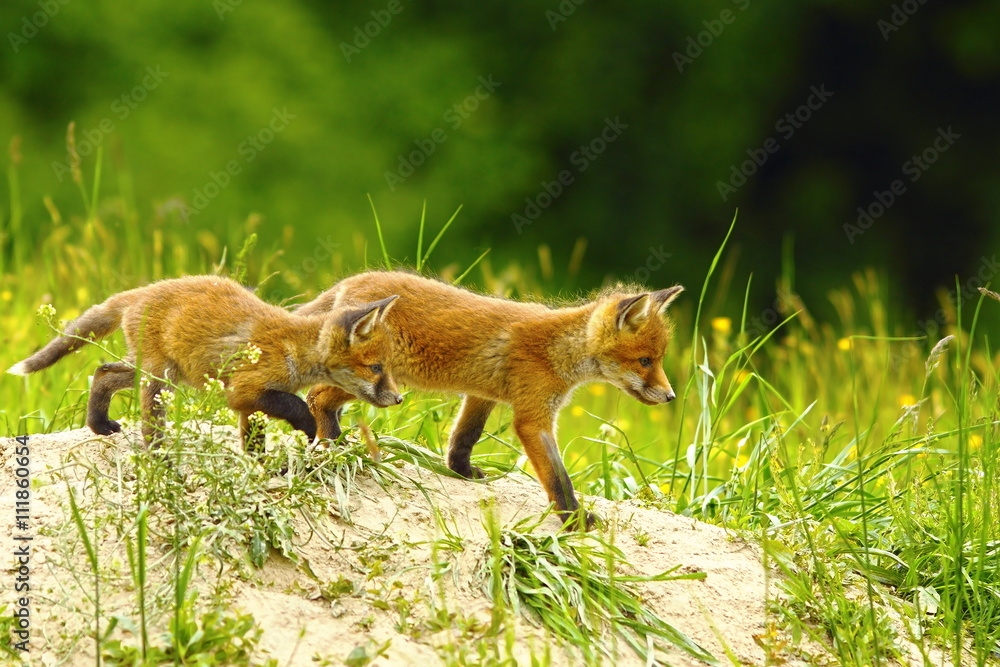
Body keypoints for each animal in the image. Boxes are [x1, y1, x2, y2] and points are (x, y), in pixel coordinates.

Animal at [8, 275, 402, 449]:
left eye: (387, 368)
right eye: (377, 368)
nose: (399, 399)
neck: (293, 347)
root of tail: (141, 290)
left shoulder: (250, 406)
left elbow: (254, 444)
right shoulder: (244, 392)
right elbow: (296, 405)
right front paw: (309, 429)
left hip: (158, 373)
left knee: (102, 372)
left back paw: (100, 426)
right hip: (158, 380)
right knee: (145, 418)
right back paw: (158, 456)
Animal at [295, 270, 684, 528]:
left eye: (659, 359)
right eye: (645, 361)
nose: (670, 396)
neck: (557, 349)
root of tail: (352, 280)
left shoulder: (482, 396)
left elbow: (465, 437)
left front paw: (462, 472)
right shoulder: (533, 418)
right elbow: (558, 476)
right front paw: (572, 517)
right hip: (375, 381)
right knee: (316, 397)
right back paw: (332, 444)